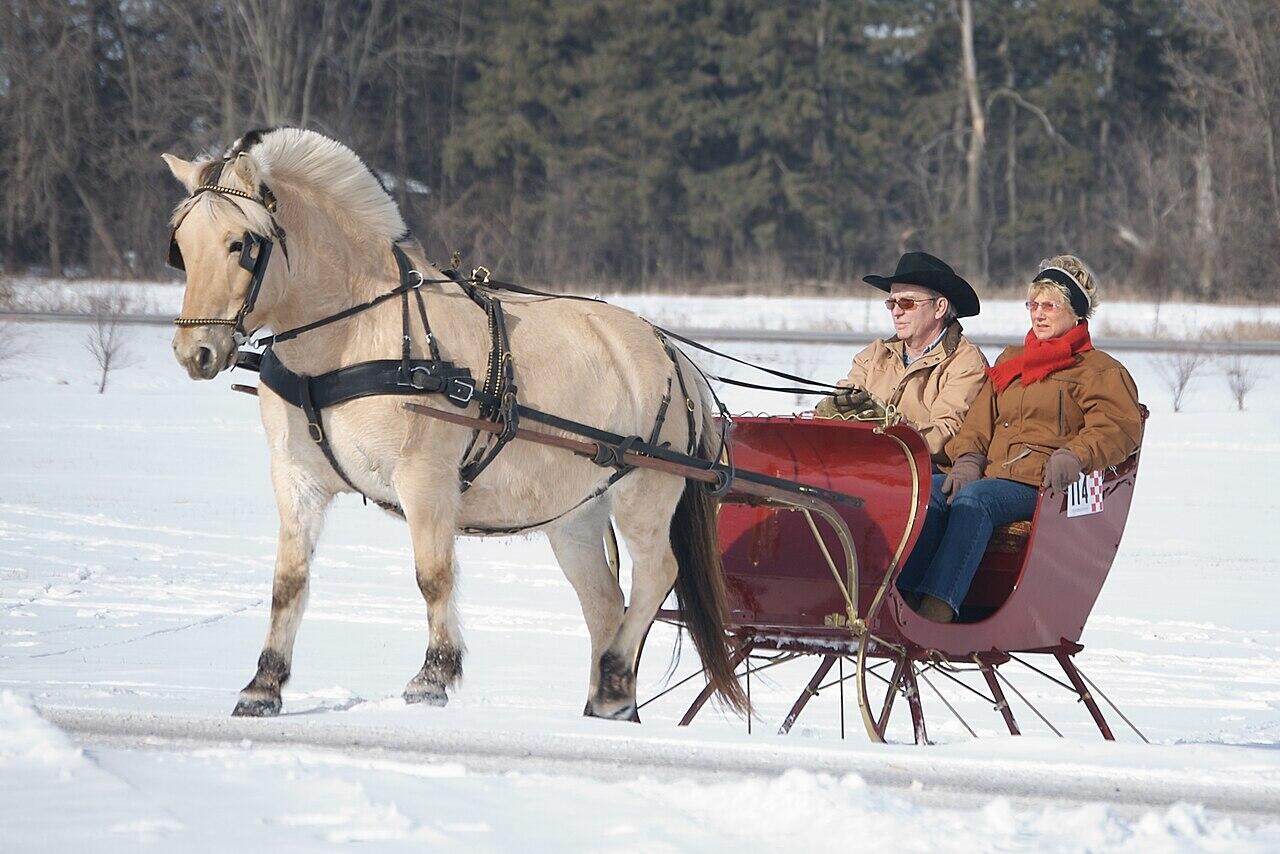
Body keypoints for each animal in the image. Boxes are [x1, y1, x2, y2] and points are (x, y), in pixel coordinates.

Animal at [162, 127, 746, 721]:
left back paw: (612, 680)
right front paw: (263, 685)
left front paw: (432, 677)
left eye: (241, 244)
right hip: (576, 513)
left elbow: (433, 576)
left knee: (656, 575)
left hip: (645, 492)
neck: (352, 334)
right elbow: (288, 580)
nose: (195, 351)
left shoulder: (425, 477)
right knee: (605, 601)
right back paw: (610, 701)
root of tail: (671, 353)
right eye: (180, 245)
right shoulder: (295, 477)